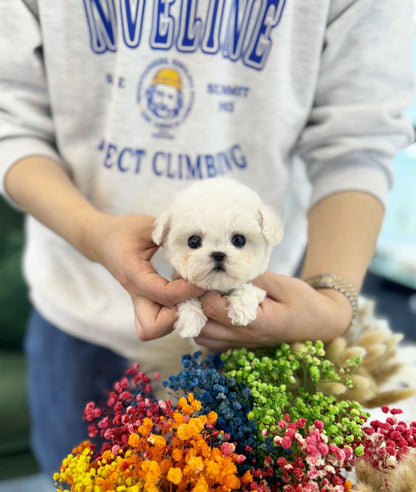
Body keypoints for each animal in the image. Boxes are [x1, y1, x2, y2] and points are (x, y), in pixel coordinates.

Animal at [151, 180, 284, 338]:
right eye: (193, 241)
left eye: (239, 240)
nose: (218, 254)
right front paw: (191, 320)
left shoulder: (260, 290)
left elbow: (246, 287)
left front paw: (241, 309)